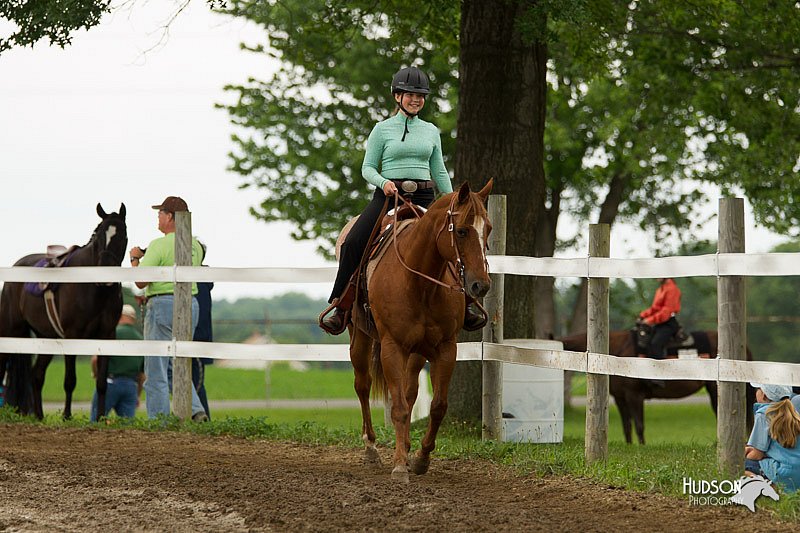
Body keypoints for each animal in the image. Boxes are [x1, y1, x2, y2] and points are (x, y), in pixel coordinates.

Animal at [0, 202, 127, 418]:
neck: (93, 289)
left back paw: (40, 416)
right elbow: (70, 380)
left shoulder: (107, 336)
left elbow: (102, 383)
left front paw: (101, 418)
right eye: (99, 236)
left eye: (122, 235)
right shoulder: (72, 335)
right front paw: (67, 416)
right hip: (11, 331)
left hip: (46, 337)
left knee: (36, 375)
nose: (105, 269)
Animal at [350, 180, 494, 482]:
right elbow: (399, 408)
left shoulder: (446, 348)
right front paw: (399, 465)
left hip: (417, 352)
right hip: (359, 337)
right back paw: (371, 448)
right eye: (461, 230)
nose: (481, 285)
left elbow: (437, 406)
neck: (419, 282)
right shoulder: (392, 347)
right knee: (363, 385)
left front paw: (420, 458)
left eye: (487, 228)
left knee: (410, 391)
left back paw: (404, 446)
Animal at [560, 328, 752, 444]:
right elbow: (627, 427)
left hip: (715, 389)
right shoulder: (620, 398)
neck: (617, 352)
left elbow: (639, 425)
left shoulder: (634, 396)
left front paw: (641, 447)